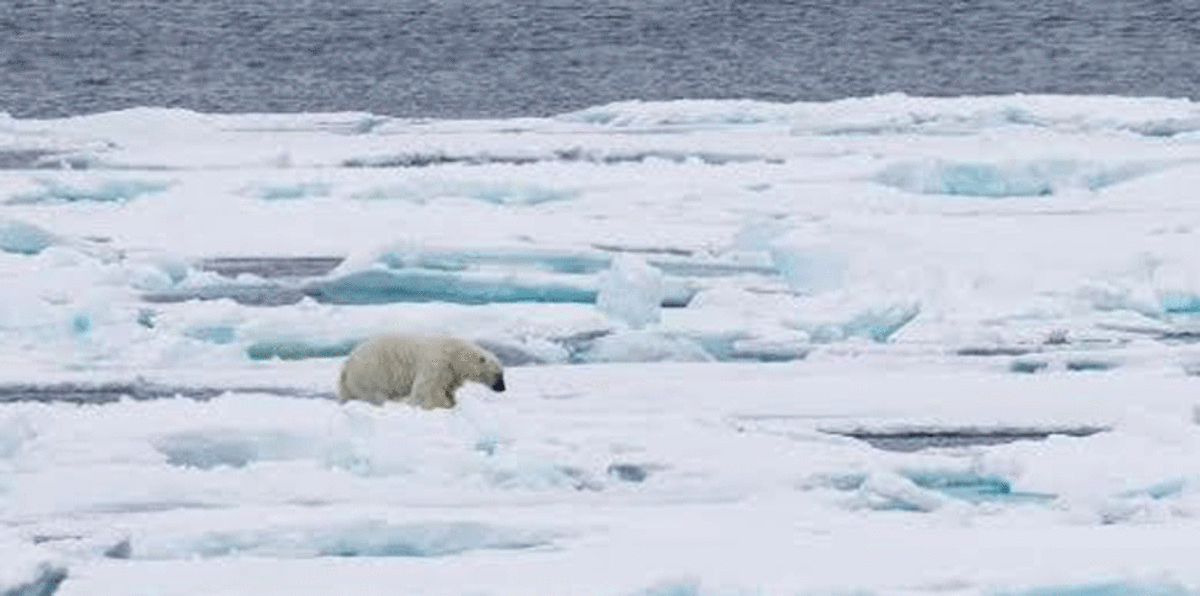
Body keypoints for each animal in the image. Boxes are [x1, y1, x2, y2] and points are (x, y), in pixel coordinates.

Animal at [338, 330, 506, 407]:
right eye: (498, 374)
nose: (502, 388)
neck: (456, 354)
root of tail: (347, 363)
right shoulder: (438, 365)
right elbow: (427, 389)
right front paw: (443, 405)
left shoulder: (452, 374)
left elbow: (448, 388)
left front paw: (452, 401)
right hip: (371, 374)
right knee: (375, 395)